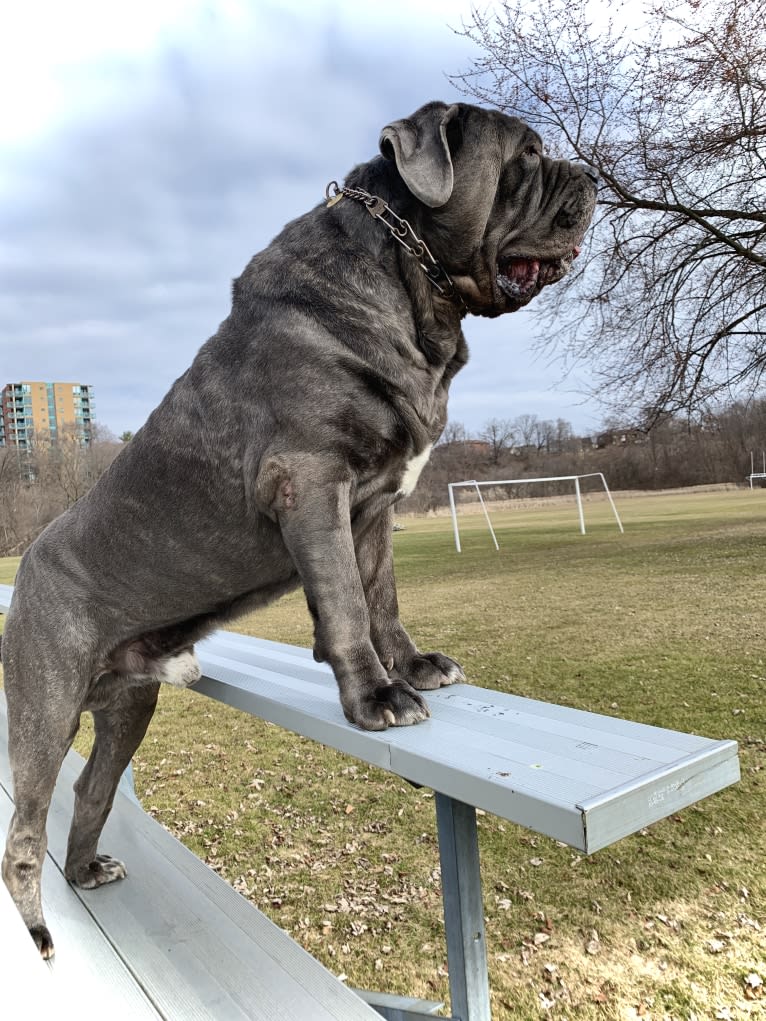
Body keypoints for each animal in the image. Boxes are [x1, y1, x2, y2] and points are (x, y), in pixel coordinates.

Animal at [1, 99, 600, 951]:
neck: (409, 282)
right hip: (44, 705)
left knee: (91, 786)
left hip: (128, 702)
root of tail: (27, 564)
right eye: (529, 151)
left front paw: (413, 666)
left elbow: (381, 598)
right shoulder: (312, 479)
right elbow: (345, 602)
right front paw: (376, 696)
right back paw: (40, 930)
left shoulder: (375, 504)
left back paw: (85, 869)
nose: (591, 178)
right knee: (23, 829)